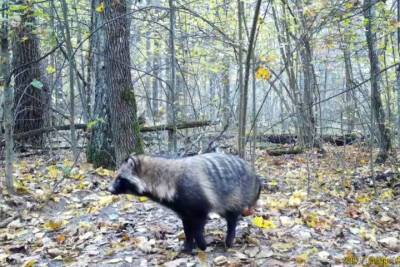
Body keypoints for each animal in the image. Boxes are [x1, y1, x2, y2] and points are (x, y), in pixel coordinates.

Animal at [108, 153, 260, 253]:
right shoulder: (183, 209)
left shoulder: (198, 203)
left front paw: (201, 244)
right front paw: (188, 245)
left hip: (235, 195)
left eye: (120, 178)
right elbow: (187, 228)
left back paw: (229, 239)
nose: (109, 189)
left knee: (232, 219)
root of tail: (255, 175)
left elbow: (198, 227)